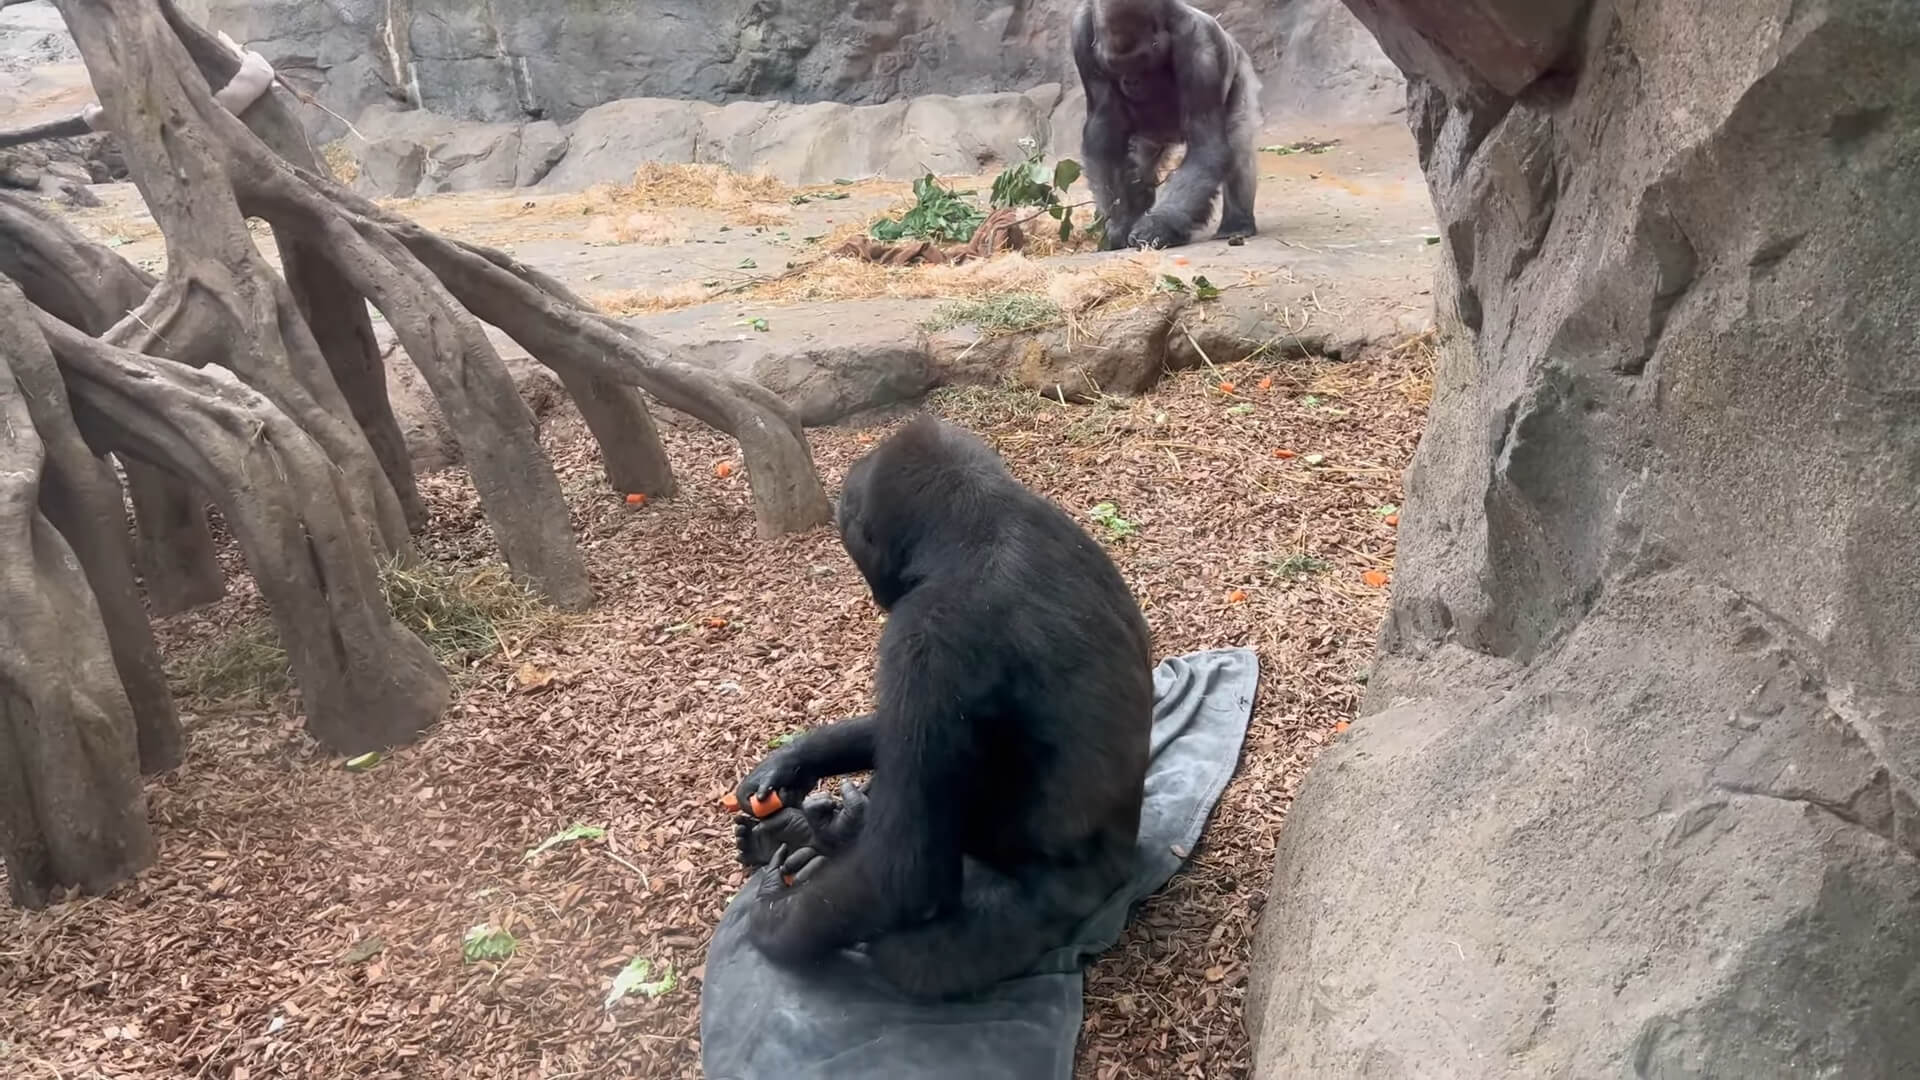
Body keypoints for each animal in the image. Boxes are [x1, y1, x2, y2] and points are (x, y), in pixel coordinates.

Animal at [729, 417, 1152, 999]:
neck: (983, 524)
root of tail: (1121, 875)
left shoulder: (924, 638)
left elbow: (901, 874)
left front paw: (771, 914)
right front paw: (794, 762)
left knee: (904, 952)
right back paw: (804, 831)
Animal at [1075, 0, 1267, 247]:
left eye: (1141, 62)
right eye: (1115, 66)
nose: (1130, 81)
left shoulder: (1199, 45)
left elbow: (1206, 146)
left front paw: (1157, 225)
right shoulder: (1080, 35)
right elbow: (1103, 130)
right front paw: (1119, 223)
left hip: (1239, 67)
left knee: (1238, 144)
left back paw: (1236, 224)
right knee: (1141, 165)